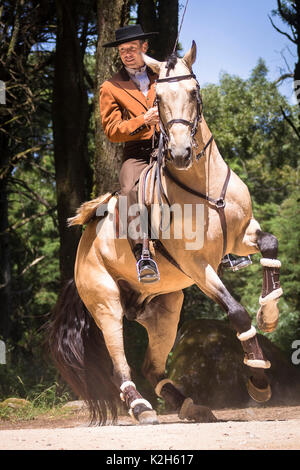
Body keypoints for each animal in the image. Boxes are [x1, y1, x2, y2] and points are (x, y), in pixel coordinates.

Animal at [48, 42, 282, 426]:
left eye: (194, 91)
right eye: (158, 99)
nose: (181, 153)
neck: (202, 182)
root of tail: (83, 248)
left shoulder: (240, 235)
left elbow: (270, 244)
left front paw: (270, 312)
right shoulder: (197, 265)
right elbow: (236, 312)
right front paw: (258, 380)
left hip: (166, 309)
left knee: (152, 367)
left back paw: (190, 405)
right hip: (106, 304)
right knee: (120, 365)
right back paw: (141, 408)